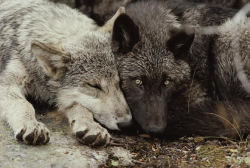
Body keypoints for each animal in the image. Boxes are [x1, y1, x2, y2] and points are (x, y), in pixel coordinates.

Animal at [0, 0, 133, 146]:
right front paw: (32, 125)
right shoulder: (7, 85)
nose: (127, 123)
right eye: (94, 86)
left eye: (120, 82)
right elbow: (23, 104)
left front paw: (90, 126)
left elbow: (80, 106)